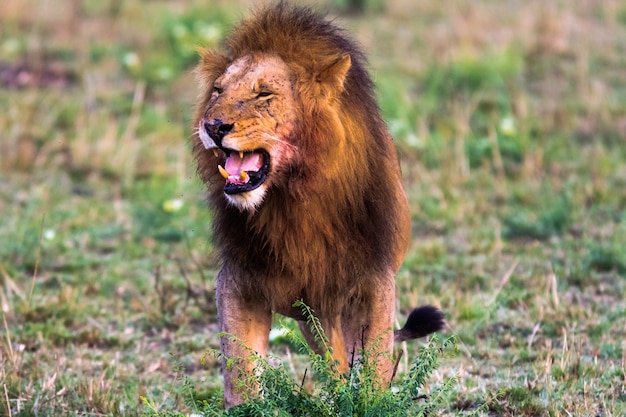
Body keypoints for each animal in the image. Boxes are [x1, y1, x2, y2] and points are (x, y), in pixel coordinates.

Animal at [193, 2, 442, 406]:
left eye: (264, 94)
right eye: (217, 90)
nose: (213, 126)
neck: (293, 198)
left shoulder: (372, 282)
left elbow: (374, 365)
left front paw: (368, 403)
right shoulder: (239, 281)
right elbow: (241, 370)